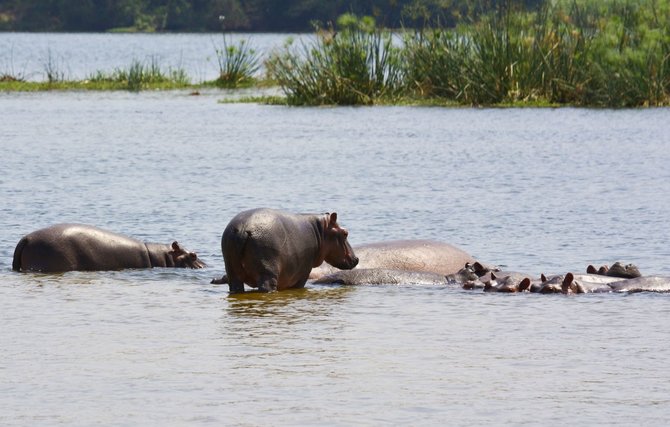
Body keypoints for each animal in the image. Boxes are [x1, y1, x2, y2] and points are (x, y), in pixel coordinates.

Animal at [218, 208, 360, 294]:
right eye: (345, 233)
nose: (357, 259)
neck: (320, 231)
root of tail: (243, 229)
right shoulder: (303, 273)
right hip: (267, 272)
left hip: (232, 270)